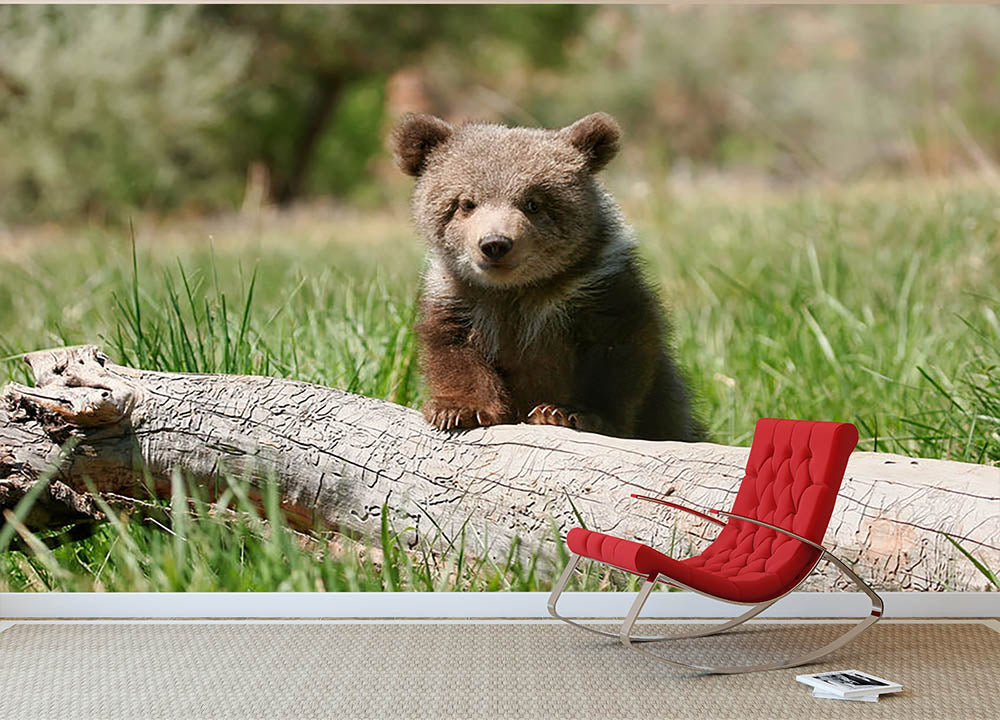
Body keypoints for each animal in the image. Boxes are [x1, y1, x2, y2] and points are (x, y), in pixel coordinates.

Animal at [391, 111, 705, 442]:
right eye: (466, 203)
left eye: (533, 202)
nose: (495, 244)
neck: (518, 289)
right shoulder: (460, 297)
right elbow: (453, 350)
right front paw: (458, 409)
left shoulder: (597, 290)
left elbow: (616, 355)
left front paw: (567, 413)